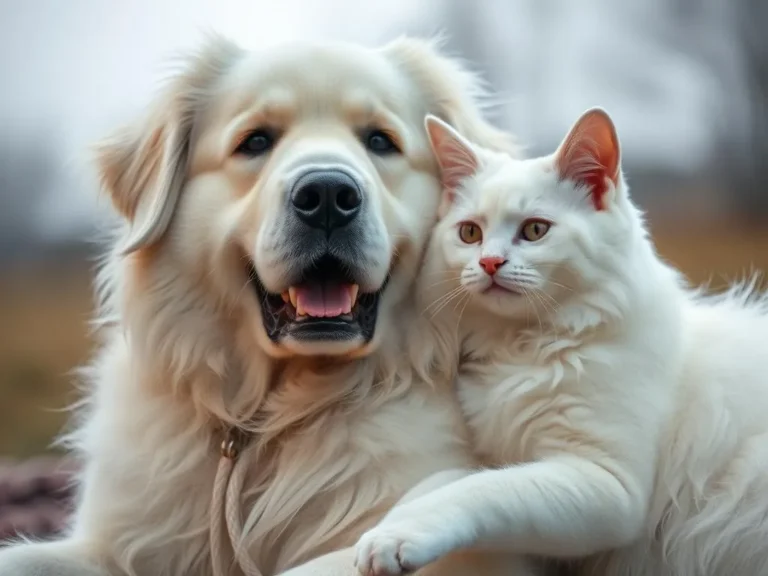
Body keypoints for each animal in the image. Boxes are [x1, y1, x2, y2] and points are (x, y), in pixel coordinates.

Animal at [352, 109, 768, 576]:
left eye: (535, 230)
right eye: (470, 234)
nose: (489, 262)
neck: (526, 346)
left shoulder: (606, 483)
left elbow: (482, 491)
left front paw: (397, 536)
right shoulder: (507, 457)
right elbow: (445, 480)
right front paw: (383, 529)